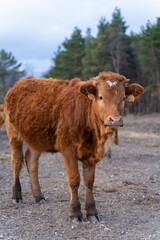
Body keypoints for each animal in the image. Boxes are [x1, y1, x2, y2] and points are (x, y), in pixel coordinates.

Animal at [4, 72, 144, 222]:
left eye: (123, 98)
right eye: (101, 97)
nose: (115, 120)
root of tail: (21, 82)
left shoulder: (91, 154)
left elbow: (89, 181)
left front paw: (92, 212)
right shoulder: (68, 150)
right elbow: (74, 180)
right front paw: (75, 212)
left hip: (36, 139)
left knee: (31, 162)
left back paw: (39, 196)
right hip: (13, 134)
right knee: (16, 162)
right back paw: (16, 196)